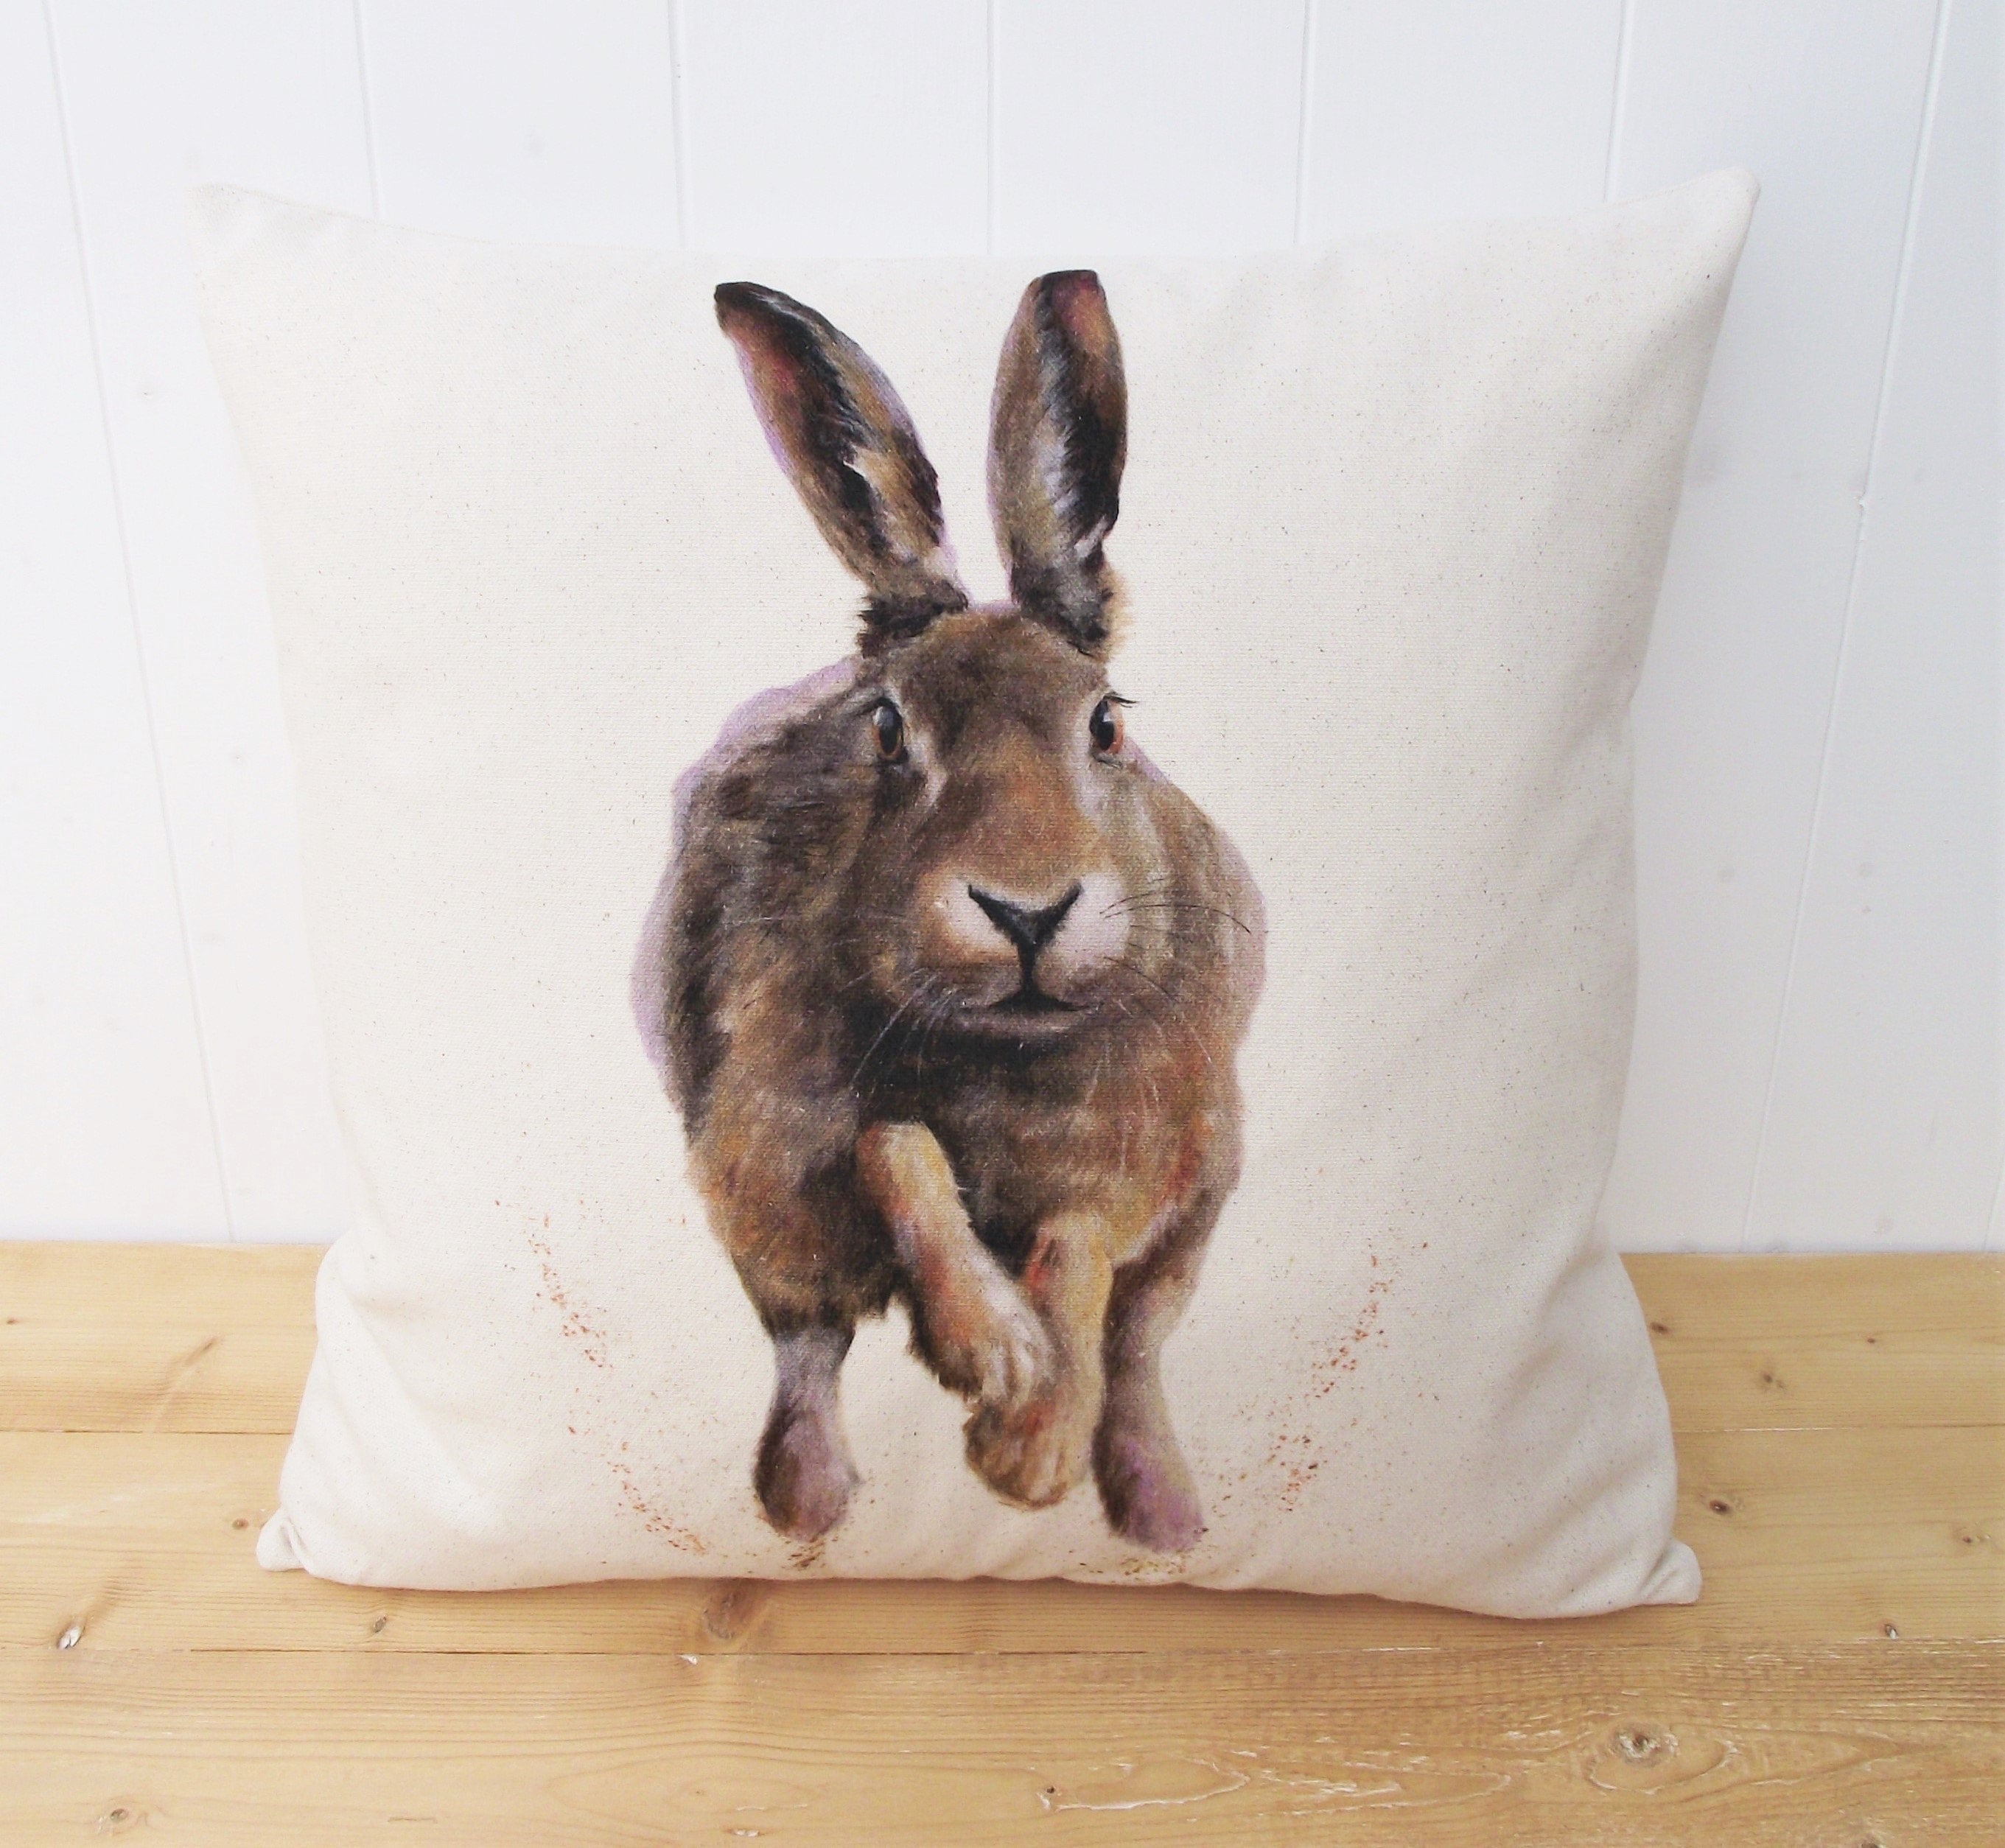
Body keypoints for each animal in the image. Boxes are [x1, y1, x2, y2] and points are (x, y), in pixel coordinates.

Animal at [636, 270, 1264, 1555]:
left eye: (1106, 724)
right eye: (886, 730)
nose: (1025, 912)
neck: (1001, 1052)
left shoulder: (1143, 1149)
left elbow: (1080, 1248)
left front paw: (1028, 1447)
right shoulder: (785, 1123)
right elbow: (899, 1149)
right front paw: (1002, 1358)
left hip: (1201, 1212)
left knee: (1140, 1350)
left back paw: (1159, 1509)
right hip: (762, 1218)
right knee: (808, 1347)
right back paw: (807, 1501)